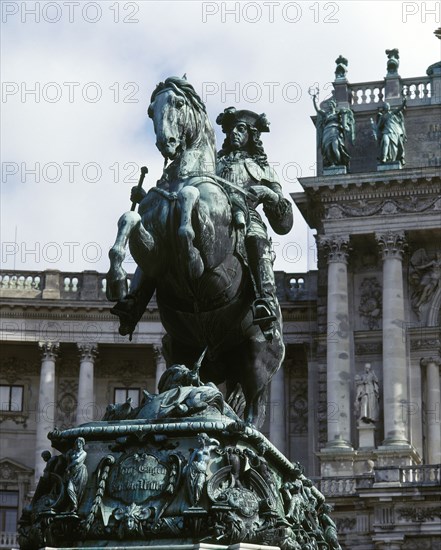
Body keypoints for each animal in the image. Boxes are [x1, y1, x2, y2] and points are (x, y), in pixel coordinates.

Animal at [107, 77, 286, 430]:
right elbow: (128, 219)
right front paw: (117, 277)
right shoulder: (154, 256)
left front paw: (190, 258)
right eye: (151, 109)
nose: (168, 144)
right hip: (181, 348)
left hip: (258, 357)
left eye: (178, 104)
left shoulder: (214, 252)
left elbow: (192, 206)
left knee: (254, 410)